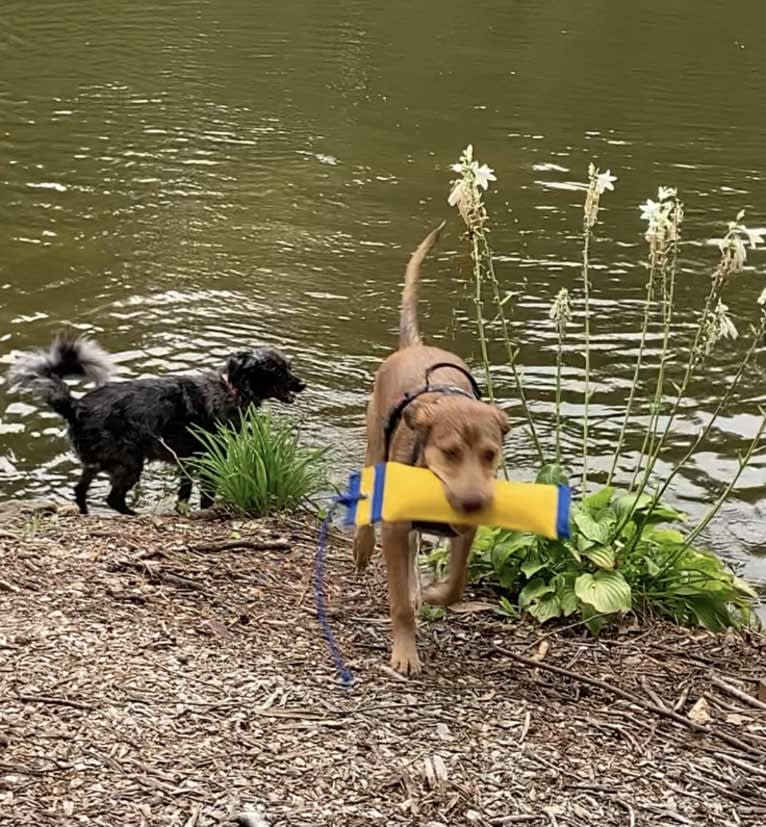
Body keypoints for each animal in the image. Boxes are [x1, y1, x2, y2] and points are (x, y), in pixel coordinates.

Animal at [7, 334, 306, 516]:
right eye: (277, 369)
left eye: (289, 366)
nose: (302, 384)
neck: (232, 389)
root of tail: (76, 406)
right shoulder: (210, 459)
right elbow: (206, 495)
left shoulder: (188, 460)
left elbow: (184, 492)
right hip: (129, 462)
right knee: (113, 499)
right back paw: (133, 514)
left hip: (97, 463)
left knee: (80, 490)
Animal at [354, 223, 510, 676]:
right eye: (450, 452)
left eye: (491, 454)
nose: (475, 502)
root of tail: (414, 347)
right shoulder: (394, 526)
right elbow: (399, 603)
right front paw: (405, 652)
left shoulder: (466, 531)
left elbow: (456, 584)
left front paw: (436, 593)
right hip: (375, 446)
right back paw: (361, 547)